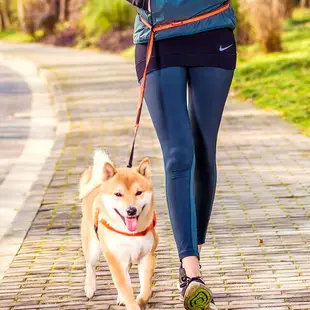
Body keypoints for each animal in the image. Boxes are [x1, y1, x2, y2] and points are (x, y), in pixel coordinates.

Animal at [78, 150, 159, 310]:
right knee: (90, 265)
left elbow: (146, 290)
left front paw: (140, 301)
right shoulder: (116, 261)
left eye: (138, 192)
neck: (130, 233)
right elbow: (127, 291)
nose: (131, 210)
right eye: (118, 194)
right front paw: (133, 303)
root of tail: (99, 186)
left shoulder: (146, 257)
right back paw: (90, 288)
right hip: (93, 248)